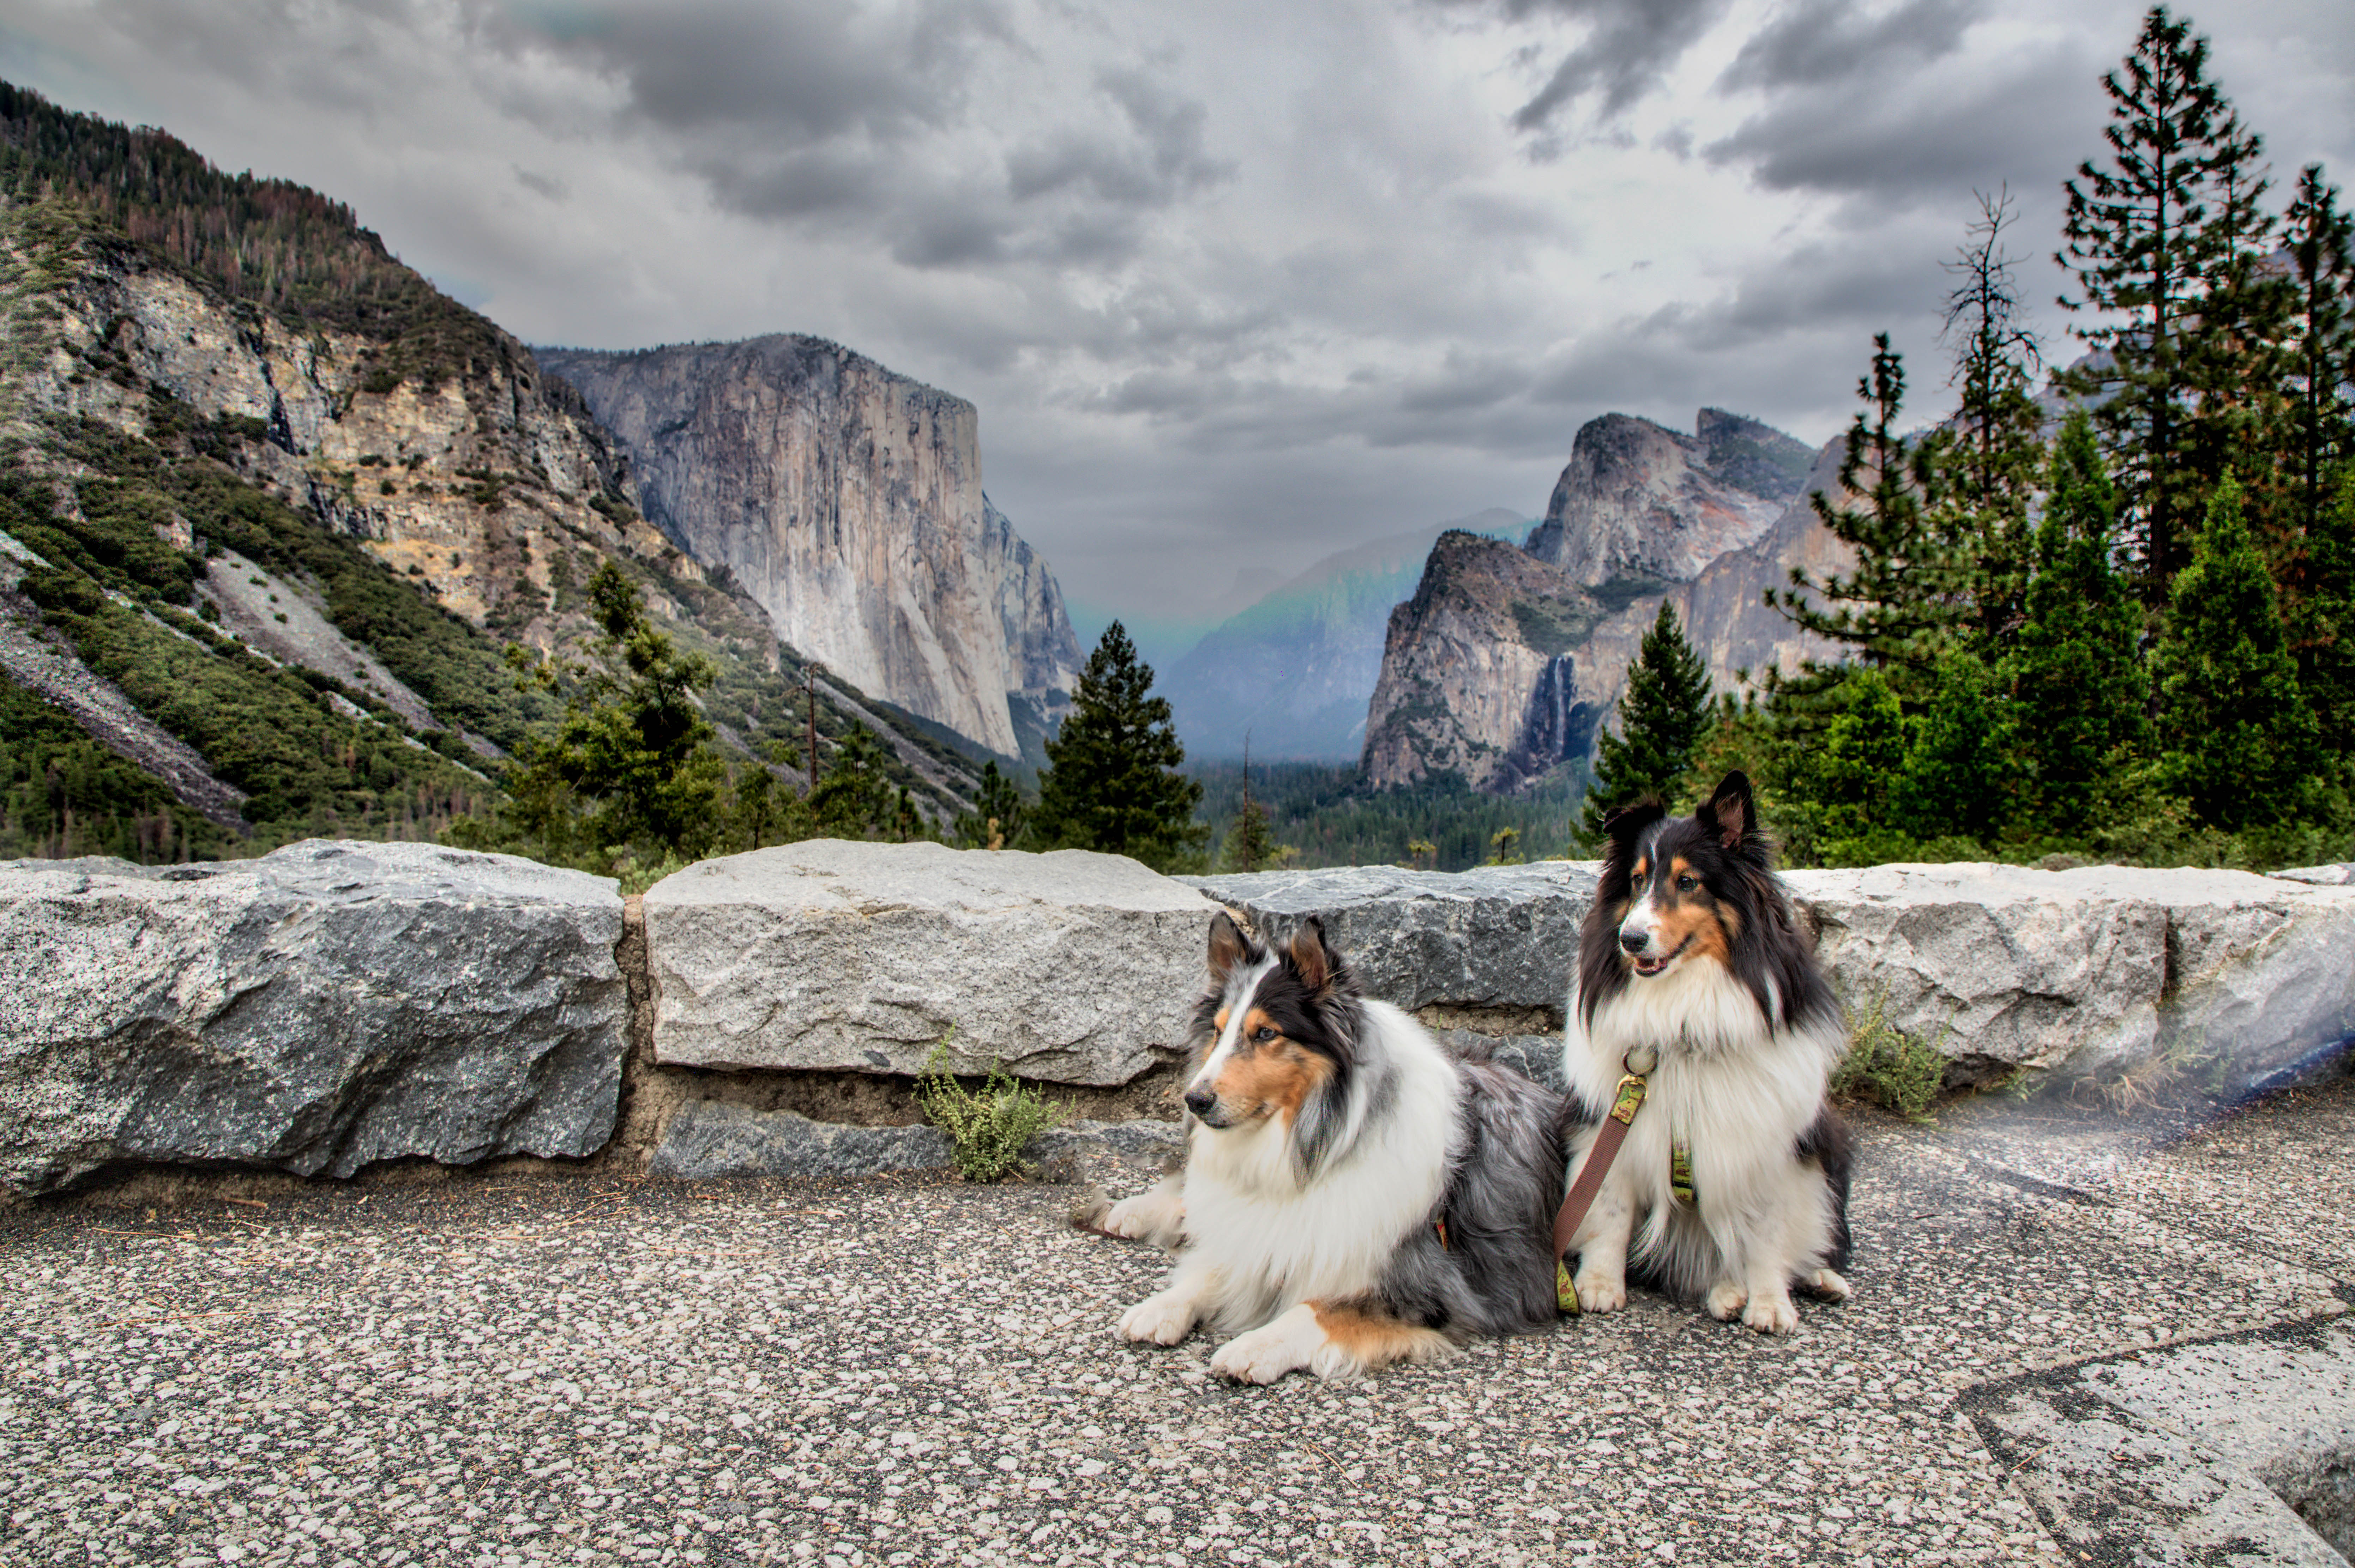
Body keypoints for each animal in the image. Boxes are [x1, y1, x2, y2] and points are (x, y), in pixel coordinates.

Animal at [1092, 909, 1573, 1375]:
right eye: (1217, 1030)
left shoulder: (1433, 1287)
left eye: (1266, 1033)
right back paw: (1129, 1211)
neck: (1302, 1148)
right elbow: (1213, 1267)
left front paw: (1253, 1347)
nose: (1194, 1100)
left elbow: (1315, 1310)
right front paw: (1161, 1307)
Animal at [1564, 767, 1856, 1328]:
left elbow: (1765, 1228)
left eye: (1687, 882)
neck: (1682, 1016)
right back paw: (1727, 1290)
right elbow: (1609, 1207)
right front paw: (1598, 1284)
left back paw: (1814, 1278)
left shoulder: (1764, 1138)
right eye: (1636, 881)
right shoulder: (1611, 1119)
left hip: (1827, 1151)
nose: (1630, 939)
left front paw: (1770, 1303)